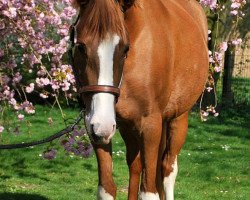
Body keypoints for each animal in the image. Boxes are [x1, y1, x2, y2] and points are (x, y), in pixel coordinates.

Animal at [71, 0, 208, 200]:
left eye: (125, 48)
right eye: (80, 46)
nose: (103, 125)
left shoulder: (151, 126)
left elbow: (149, 191)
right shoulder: (97, 128)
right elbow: (107, 189)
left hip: (178, 119)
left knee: (167, 170)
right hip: (128, 127)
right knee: (136, 166)